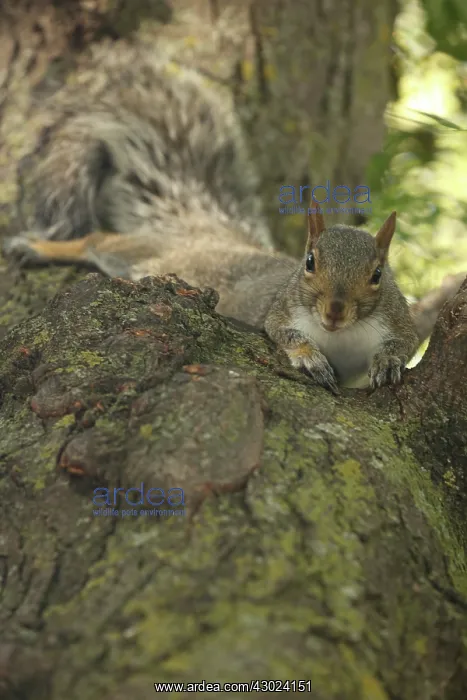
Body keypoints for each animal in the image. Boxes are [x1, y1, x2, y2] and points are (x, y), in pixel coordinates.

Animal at [3, 42, 465, 392]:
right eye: (309, 262)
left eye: (378, 274)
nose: (334, 311)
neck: (342, 335)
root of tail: (203, 231)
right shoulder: (279, 313)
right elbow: (284, 334)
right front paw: (309, 357)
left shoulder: (398, 320)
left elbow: (404, 342)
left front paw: (388, 361)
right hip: (146, 251)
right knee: (95, 241)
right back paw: (38, 247)